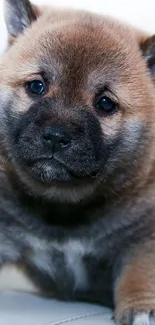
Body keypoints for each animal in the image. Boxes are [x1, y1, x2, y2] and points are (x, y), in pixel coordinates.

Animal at [0, 0, 155, 322]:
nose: (56, 136)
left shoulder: (144, 237)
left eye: (105, 103)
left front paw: (140, 308)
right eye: (36, 86)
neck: (62, 208)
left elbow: (141, 273)